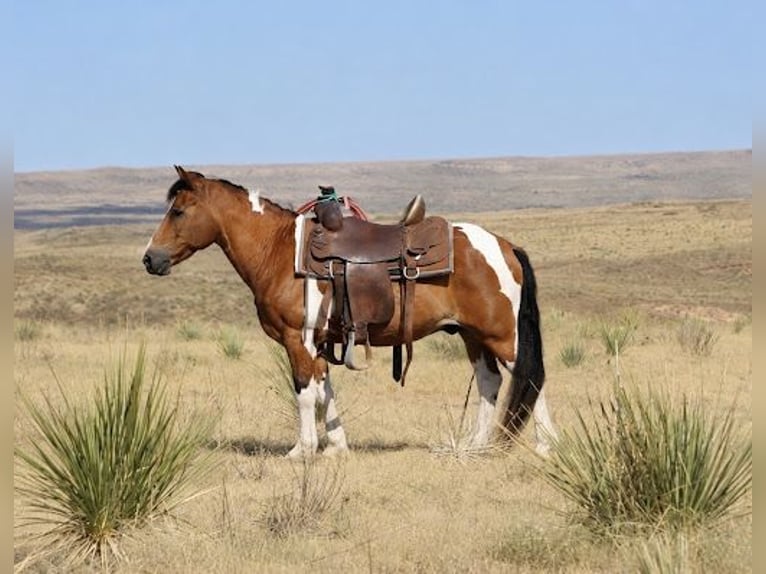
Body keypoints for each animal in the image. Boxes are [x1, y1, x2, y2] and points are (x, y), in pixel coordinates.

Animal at [142, 166, 557, 458]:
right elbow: (325, 390)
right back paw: (475, 445)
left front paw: (302, 450)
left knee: (527, 377)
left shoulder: (298, 339)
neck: (278, 252)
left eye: (178, 212)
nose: (150, 259)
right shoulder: (322, 343)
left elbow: (304, 392)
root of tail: (506, 246)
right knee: (489, 382)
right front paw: (336, 446)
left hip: (502, 336)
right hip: (473, 336)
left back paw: (545, 445)